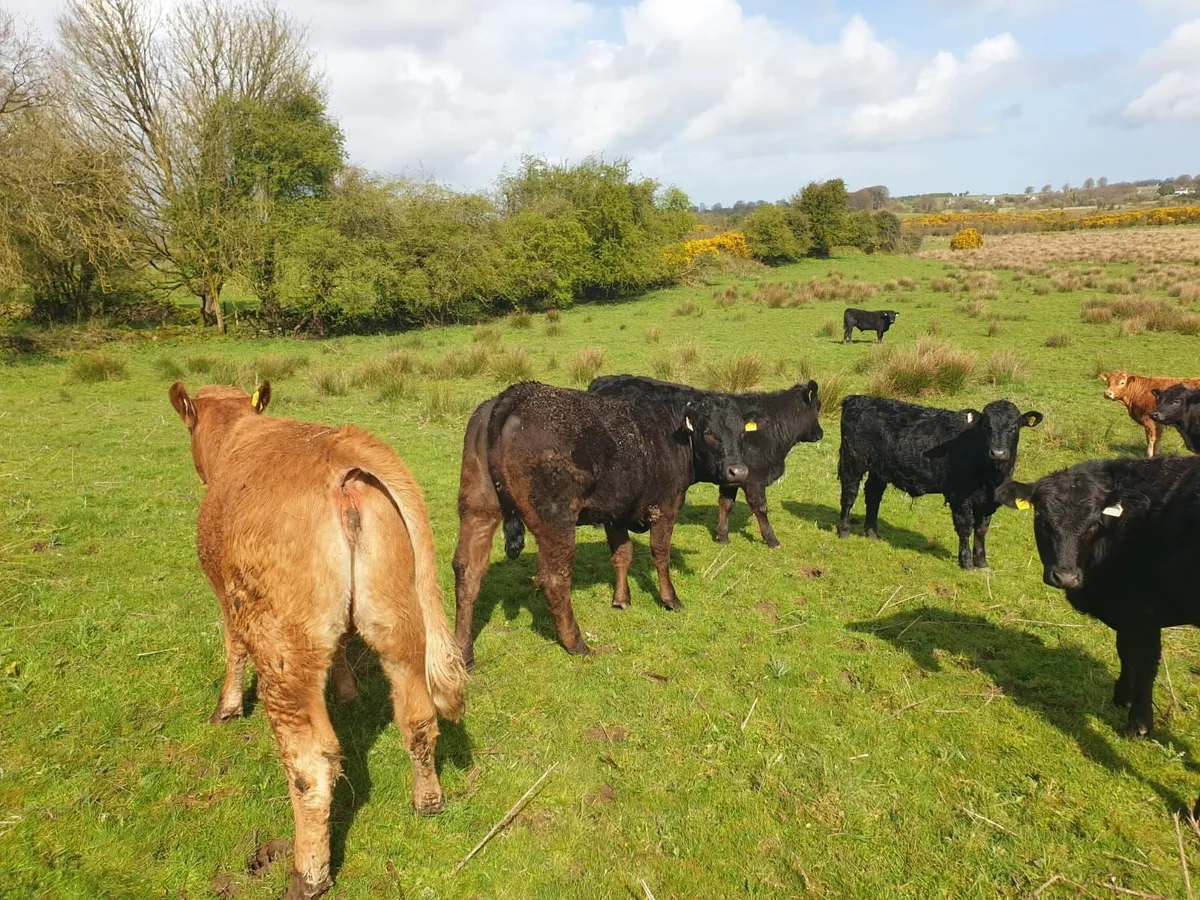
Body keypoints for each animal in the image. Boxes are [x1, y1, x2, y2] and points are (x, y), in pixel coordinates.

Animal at [169, 381, 465, 900]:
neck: (236, 433)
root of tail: (341, 450)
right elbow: (343, 645)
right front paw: (346, 691)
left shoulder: (229, 599)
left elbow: (233, 649)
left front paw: (227, 707)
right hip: (395, 620)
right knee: (419, 717)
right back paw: (427, 800)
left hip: (285, 651)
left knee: (312, 763)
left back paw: (308, 873)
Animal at [452, 381, 750, 667]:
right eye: (709, 432)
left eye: (741, 434)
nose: (738, 471)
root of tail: (515, 394)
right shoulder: (665, 507)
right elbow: (660, 554)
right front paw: (670, 599)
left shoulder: (615, 512)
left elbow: (623, 554)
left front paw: (621, 599)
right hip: (556, 519)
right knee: (554, 579)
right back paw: (577, 643)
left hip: (478, 508)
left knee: (468, 571)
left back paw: (463, 654)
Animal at [588, 374, 823, 548]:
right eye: (818, 407)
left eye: (742, 433)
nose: (820, 433)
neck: (772, 428)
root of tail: (602, 381)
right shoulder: (754, 480)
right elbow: (761, 508)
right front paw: (772, 539)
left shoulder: (734, 474)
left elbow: (726, 504)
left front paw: (722, 536)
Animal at [837, 395, 1043, 569]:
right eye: (986, 427)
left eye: (1014, 427)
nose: (998, 453)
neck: (991, 476)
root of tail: (856, 399)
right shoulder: (960, 495)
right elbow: (966, 527)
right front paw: (966, 562)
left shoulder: (988, 501)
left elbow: (982, 530)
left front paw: (982, 562)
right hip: (852, 461)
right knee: (849, 495)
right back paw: (844, 531)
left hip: (879, 470)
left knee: (873, 496)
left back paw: (872, 534)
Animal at [996, 455, 1200, 738]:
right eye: (1041, 518)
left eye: (1094, 525)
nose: (1065, 577)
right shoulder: (1126, 611)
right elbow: (1125, 651)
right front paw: (1122, 696)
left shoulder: (1142, 611)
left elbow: (1145, 662)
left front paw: (1139, 724)